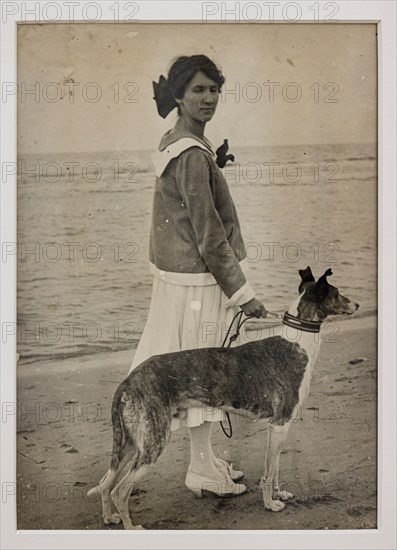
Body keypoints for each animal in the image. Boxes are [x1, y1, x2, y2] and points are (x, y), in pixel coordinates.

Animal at [87, 268, 358, 532]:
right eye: (337, 293)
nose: (357, 304)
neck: (297, 343)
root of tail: (128, 381)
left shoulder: (279, 428)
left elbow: (276, 468)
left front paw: (279, 493)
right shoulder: (280, 425)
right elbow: (269, 472)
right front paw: (270, 503)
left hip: (132, 443)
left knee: (106, 483)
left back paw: (109, 518)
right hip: (153, 442)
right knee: (120, 490)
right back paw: (132, 527)